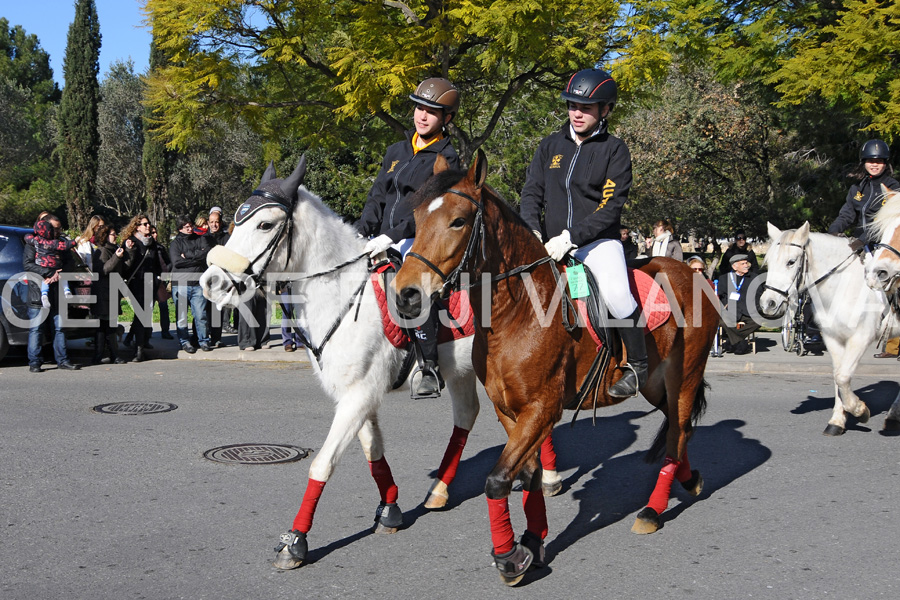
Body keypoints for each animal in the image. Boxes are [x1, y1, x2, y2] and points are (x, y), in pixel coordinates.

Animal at [394, 151, 716, 584]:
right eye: (416, 218)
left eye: (458, 221)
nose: (406, 295)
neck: (517, 313)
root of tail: (692, 273)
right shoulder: (509, 411)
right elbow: (527, 475)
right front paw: (532, 542)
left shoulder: (541, 408)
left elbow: (497, 480)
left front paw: (509, 556)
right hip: (654, 384)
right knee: (678, 434)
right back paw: (688, 480)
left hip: (685, 378)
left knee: (677, 432)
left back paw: (652, 509)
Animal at [756, 223, 888, 434]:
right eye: (768, 261)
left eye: (791, 262)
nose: (768, 303)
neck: (843, 285)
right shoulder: (833, 338)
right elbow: (838, 377)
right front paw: (837, 420)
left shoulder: (861, 337)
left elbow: (843, 377)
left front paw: (860, 410)